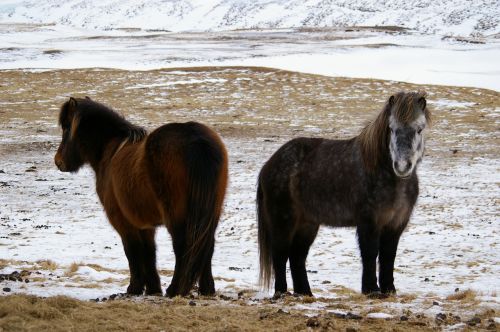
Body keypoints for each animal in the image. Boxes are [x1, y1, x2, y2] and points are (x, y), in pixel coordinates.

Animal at [54, 97, 227, 296]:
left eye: (67, 128)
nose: (58, 161)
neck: (110, 150)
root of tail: (196, 138)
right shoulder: (145, 224)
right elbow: (149, 253)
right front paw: (153, 288)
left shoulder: (123, 222)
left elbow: (133, 252)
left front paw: (134, 288)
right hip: (210, 213)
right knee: (206, 245)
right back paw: (207, 288)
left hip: (177, 216)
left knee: (183, 246)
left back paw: (175, 289)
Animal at [258, 91, 430, 298]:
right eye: (392, 128)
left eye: (419, 129)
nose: (402, 166)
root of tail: (269, 164)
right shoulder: (368, 221)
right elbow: (370, 253)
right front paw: (371, 290)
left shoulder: (396, 223)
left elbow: (388, 256)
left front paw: (389, 290)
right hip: (284, 220)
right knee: (280, 254)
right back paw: (282, 293)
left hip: (307, 224)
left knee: (297, 256)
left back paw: (306, 294)